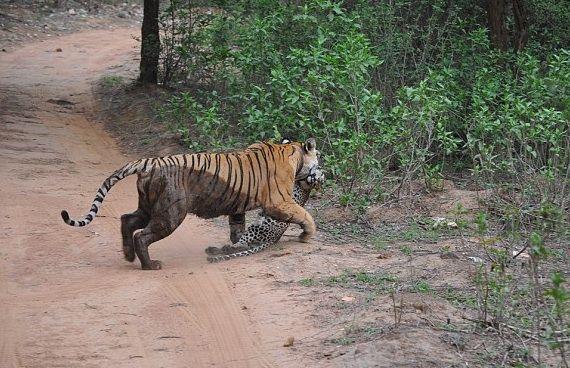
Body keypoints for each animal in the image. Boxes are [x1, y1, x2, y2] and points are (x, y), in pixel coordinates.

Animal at [62, 138, 322, 270]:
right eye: (319, 162)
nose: (322, 175)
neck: (292, 149)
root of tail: (150, 163)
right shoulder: (279, 202)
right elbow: (304, 214)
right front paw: (307, 235)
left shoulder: (237, 207)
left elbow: (238, 230)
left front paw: (234, 247)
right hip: (170, 213)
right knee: (142, 236)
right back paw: (150, 265)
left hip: (149, 207)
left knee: (127, 220)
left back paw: (128, 256)